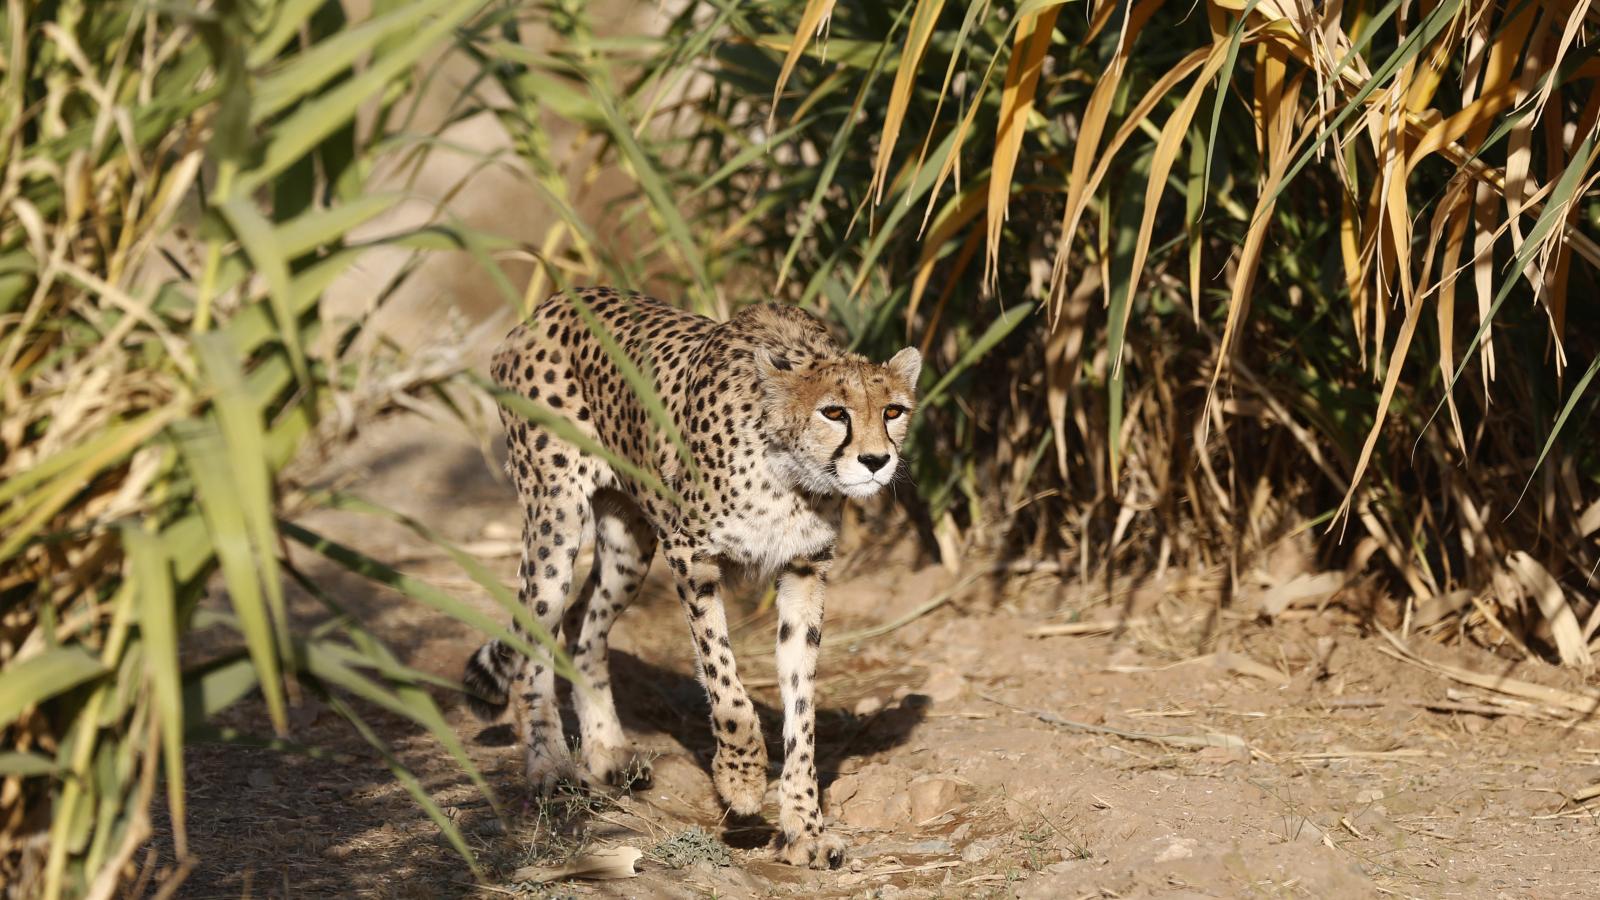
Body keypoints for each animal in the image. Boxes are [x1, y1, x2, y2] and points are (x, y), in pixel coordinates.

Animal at [464, 285, 921, 864]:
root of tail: (552, 303)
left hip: (628, 544)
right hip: (556, 520)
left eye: (892, 410)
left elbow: (801, 705)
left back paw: (607, 750)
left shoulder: (804, 571)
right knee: (535, 636)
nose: (876, 461)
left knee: (583, 625)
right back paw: (550, 766)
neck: (790, 475)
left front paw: (805, 828)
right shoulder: (691, 558)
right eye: (834, 412)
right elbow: (726, 684)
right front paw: (741, 780)